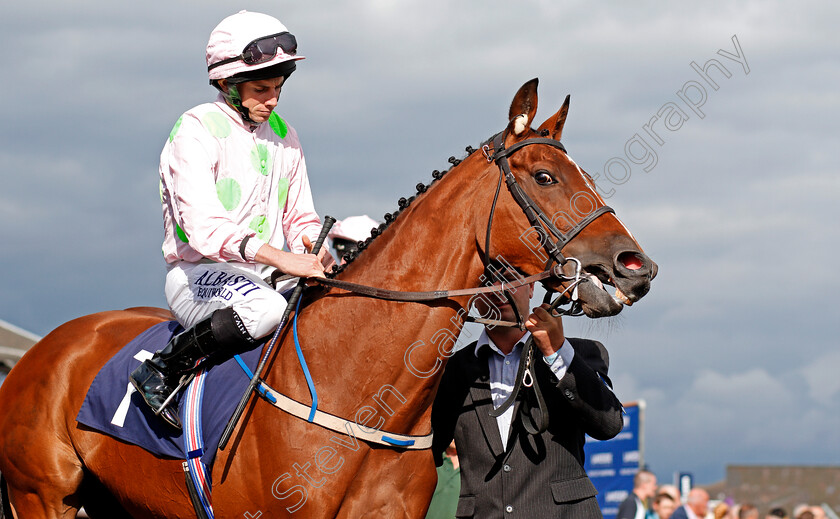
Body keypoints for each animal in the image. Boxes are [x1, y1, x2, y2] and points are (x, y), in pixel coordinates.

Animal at [0, 79, 656, 516]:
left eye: (586, 176)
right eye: (546, 177)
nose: (636, 267)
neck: (360, 387)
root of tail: (42, 350)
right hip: (41, 494)